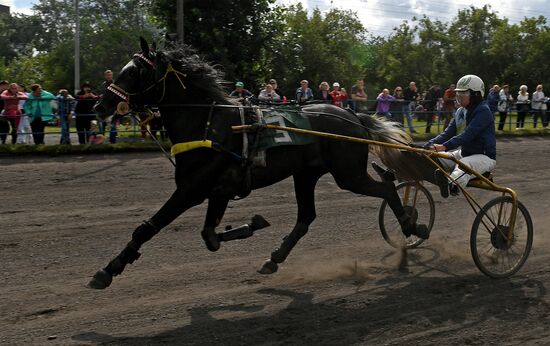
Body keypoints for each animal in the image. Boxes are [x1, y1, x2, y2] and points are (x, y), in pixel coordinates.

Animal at [88, 38, 430, 290]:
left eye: (135, 72)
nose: (100, 105)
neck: (210, 124)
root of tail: (351, 115)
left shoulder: (194, 190)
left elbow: (149, 228)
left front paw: (107, 270)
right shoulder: (218, 190)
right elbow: (209, 236)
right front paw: (252, 224)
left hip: (348, 174)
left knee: (387, 187)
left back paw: (412, 224)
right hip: (306, 174)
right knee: (306, 217)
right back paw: (274, 258)